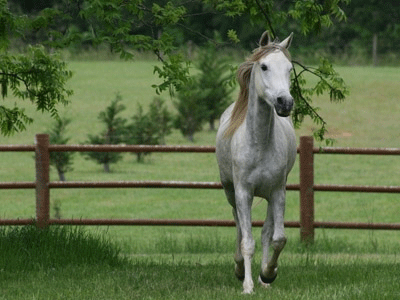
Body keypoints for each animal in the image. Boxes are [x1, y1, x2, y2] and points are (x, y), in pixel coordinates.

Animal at [216, 32, 296, 292]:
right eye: (264, 66)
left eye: (289, 68)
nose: (284, 103)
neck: (259, 144)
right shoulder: (243, 193)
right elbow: (247, 241)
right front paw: (247, 285)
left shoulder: (278, 192)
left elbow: (277, 238)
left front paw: (268, 274)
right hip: (231, 193)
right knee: (239, 228)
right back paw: (240, 269)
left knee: (266, 233)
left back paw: (263, 279)